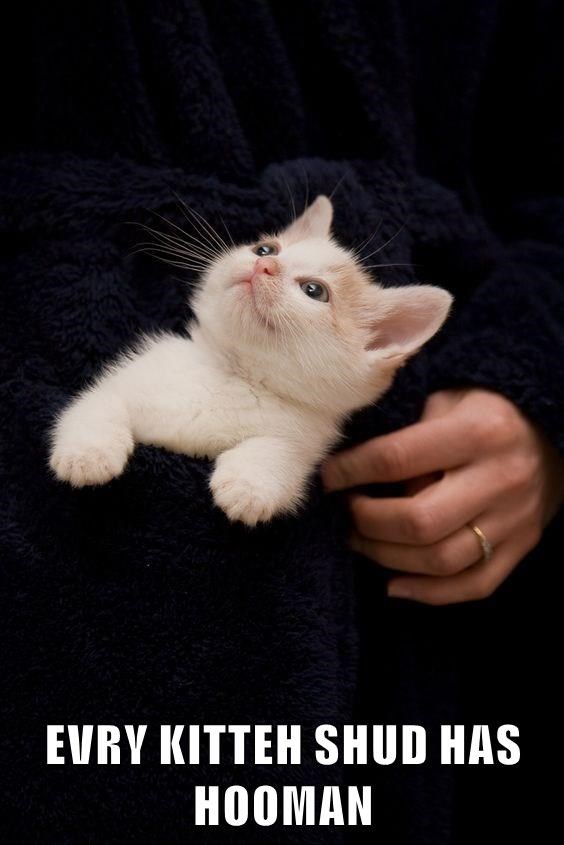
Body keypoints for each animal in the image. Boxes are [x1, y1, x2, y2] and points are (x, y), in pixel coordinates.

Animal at [49, 196, 452, 526]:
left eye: (314, 291)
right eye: (264, 248)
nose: (266, 265)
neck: (232, 373)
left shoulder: (302, 436)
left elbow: (282, 453)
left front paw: (250, 484)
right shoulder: (130, 378)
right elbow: (101, 403)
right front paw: (87, 454)